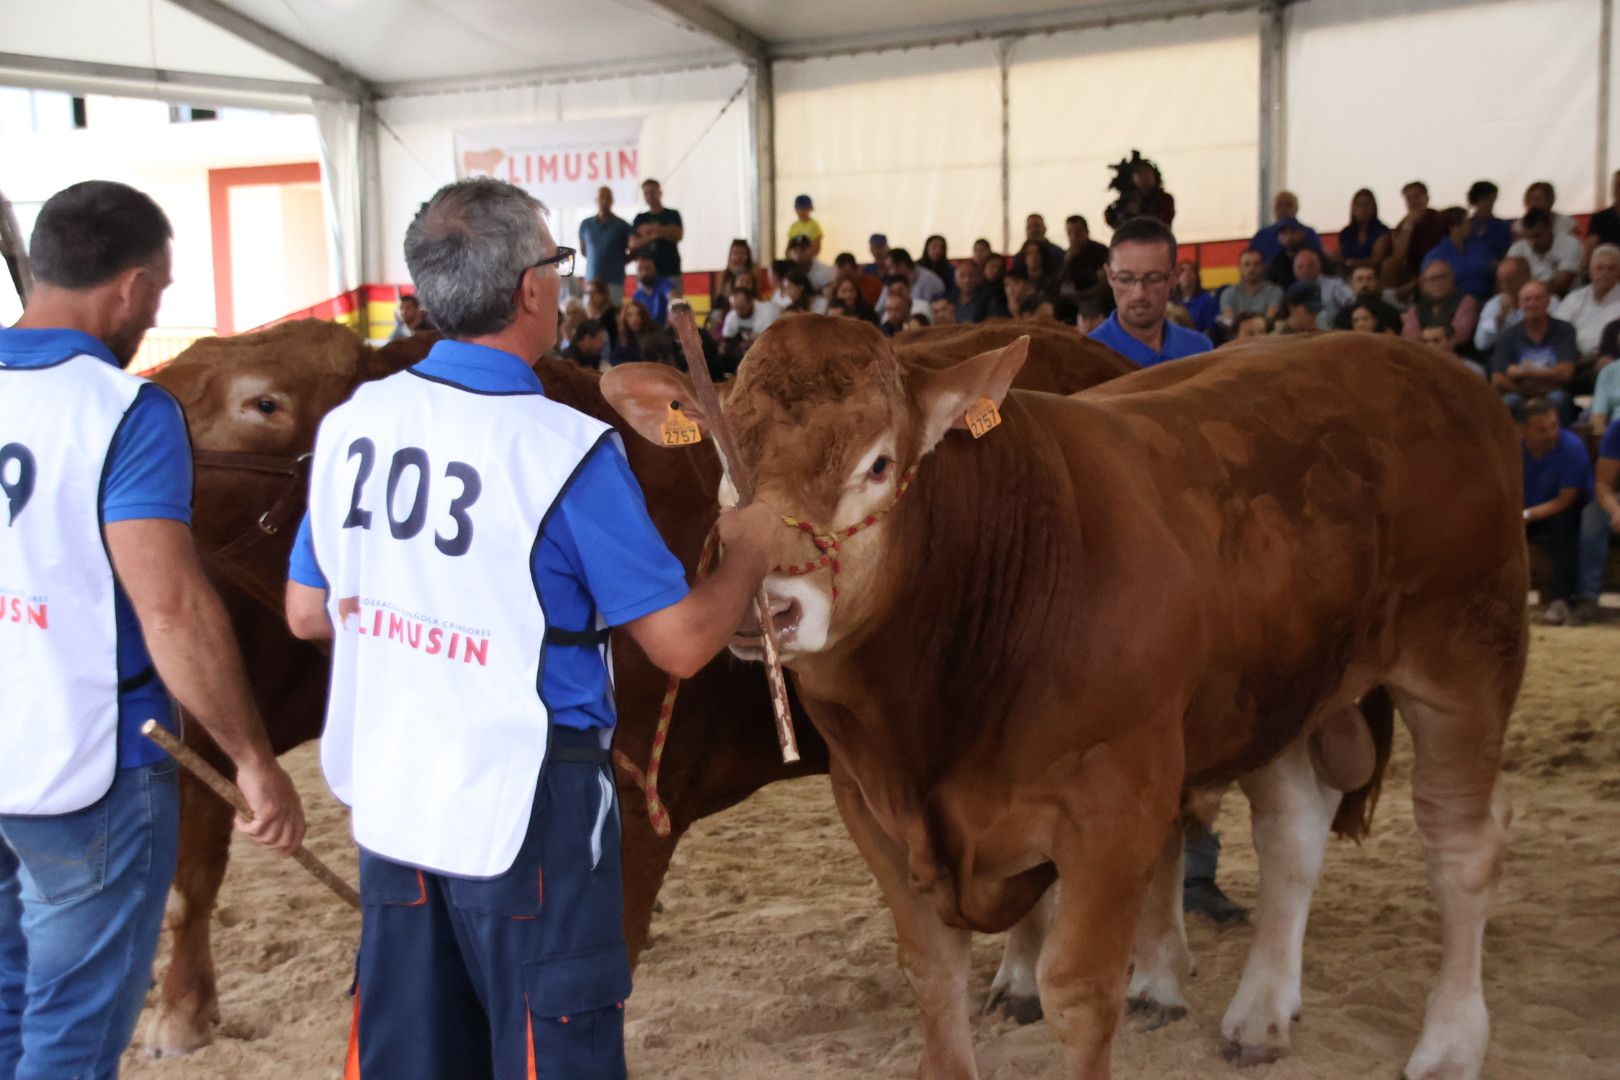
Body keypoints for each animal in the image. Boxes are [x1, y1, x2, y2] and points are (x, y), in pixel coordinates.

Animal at [602, 323, 1522, 1080]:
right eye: (724, 467)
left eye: (879, 463)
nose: (768, 603)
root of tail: (1438, 368)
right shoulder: (871, 806)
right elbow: (933, 975)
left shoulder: (1114, 804)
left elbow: (1078, 990)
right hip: (1282, 685)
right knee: (1293, 826)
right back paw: (1259, 1016)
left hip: (1465, 658)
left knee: (1462, 848)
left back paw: (1449, 1045)